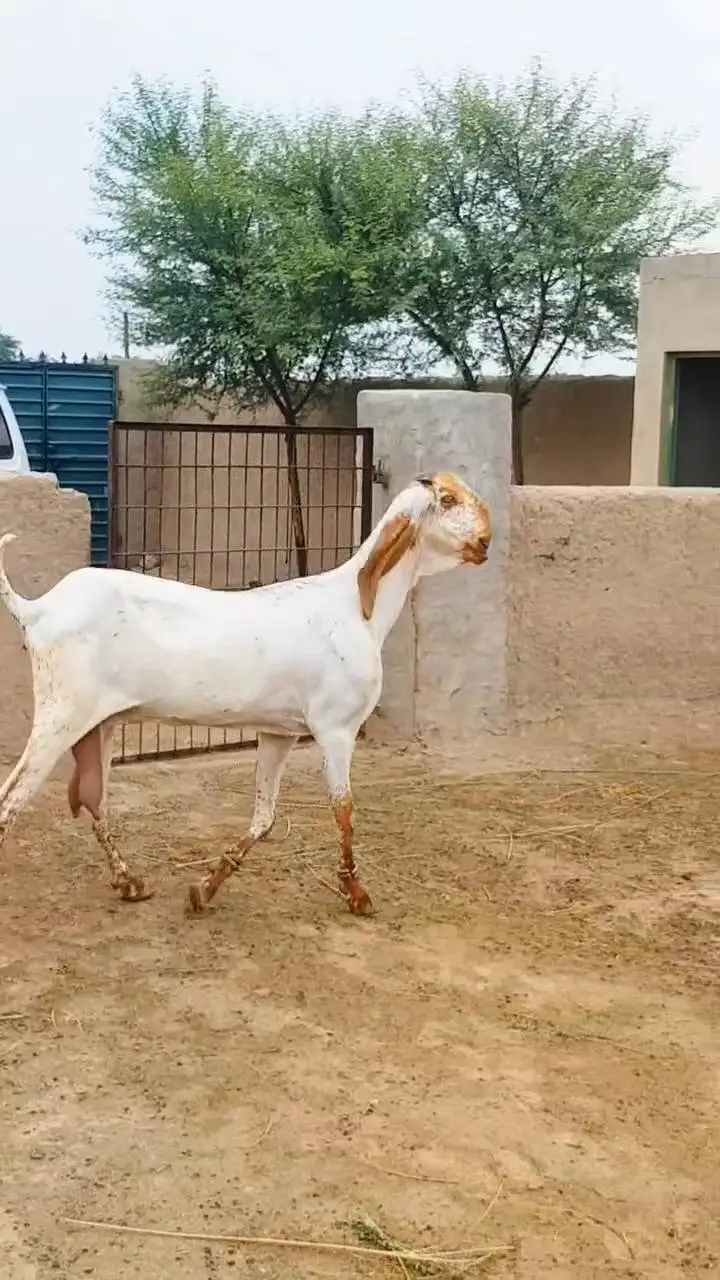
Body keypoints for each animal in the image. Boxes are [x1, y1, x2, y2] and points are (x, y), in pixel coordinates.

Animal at [0, 471, 491, 914]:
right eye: (448, 499)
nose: (486, 539)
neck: (356, 607)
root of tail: (39, 609)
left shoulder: (280, 733)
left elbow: (264, 818)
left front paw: (206, 888)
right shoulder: (336, 728)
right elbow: (343, 808)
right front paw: (356, 893)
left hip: (96, 724)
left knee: (92, 797)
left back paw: (130, 882)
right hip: (60, 714)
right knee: (13, 798)